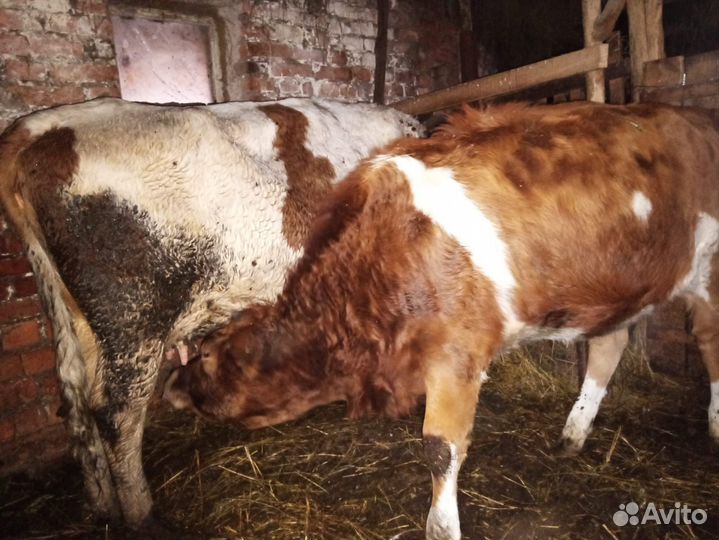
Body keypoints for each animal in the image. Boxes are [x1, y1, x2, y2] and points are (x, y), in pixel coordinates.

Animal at [0, 96, 422, 531]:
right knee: (116, 413)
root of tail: (39, 127)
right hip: (133, 320)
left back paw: (102, 506)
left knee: (75, 403)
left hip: (73, 317)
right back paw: (143, 516)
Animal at [164, 102, 719, 540]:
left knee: (709, 343)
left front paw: (441, 526)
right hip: (616, 285)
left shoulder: (458, 353)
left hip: (709, 270)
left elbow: (439, 449)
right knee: (610, 343)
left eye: (206, 355)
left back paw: (713, 428)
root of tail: (695, 117)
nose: (170, 385)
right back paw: (572, 435)